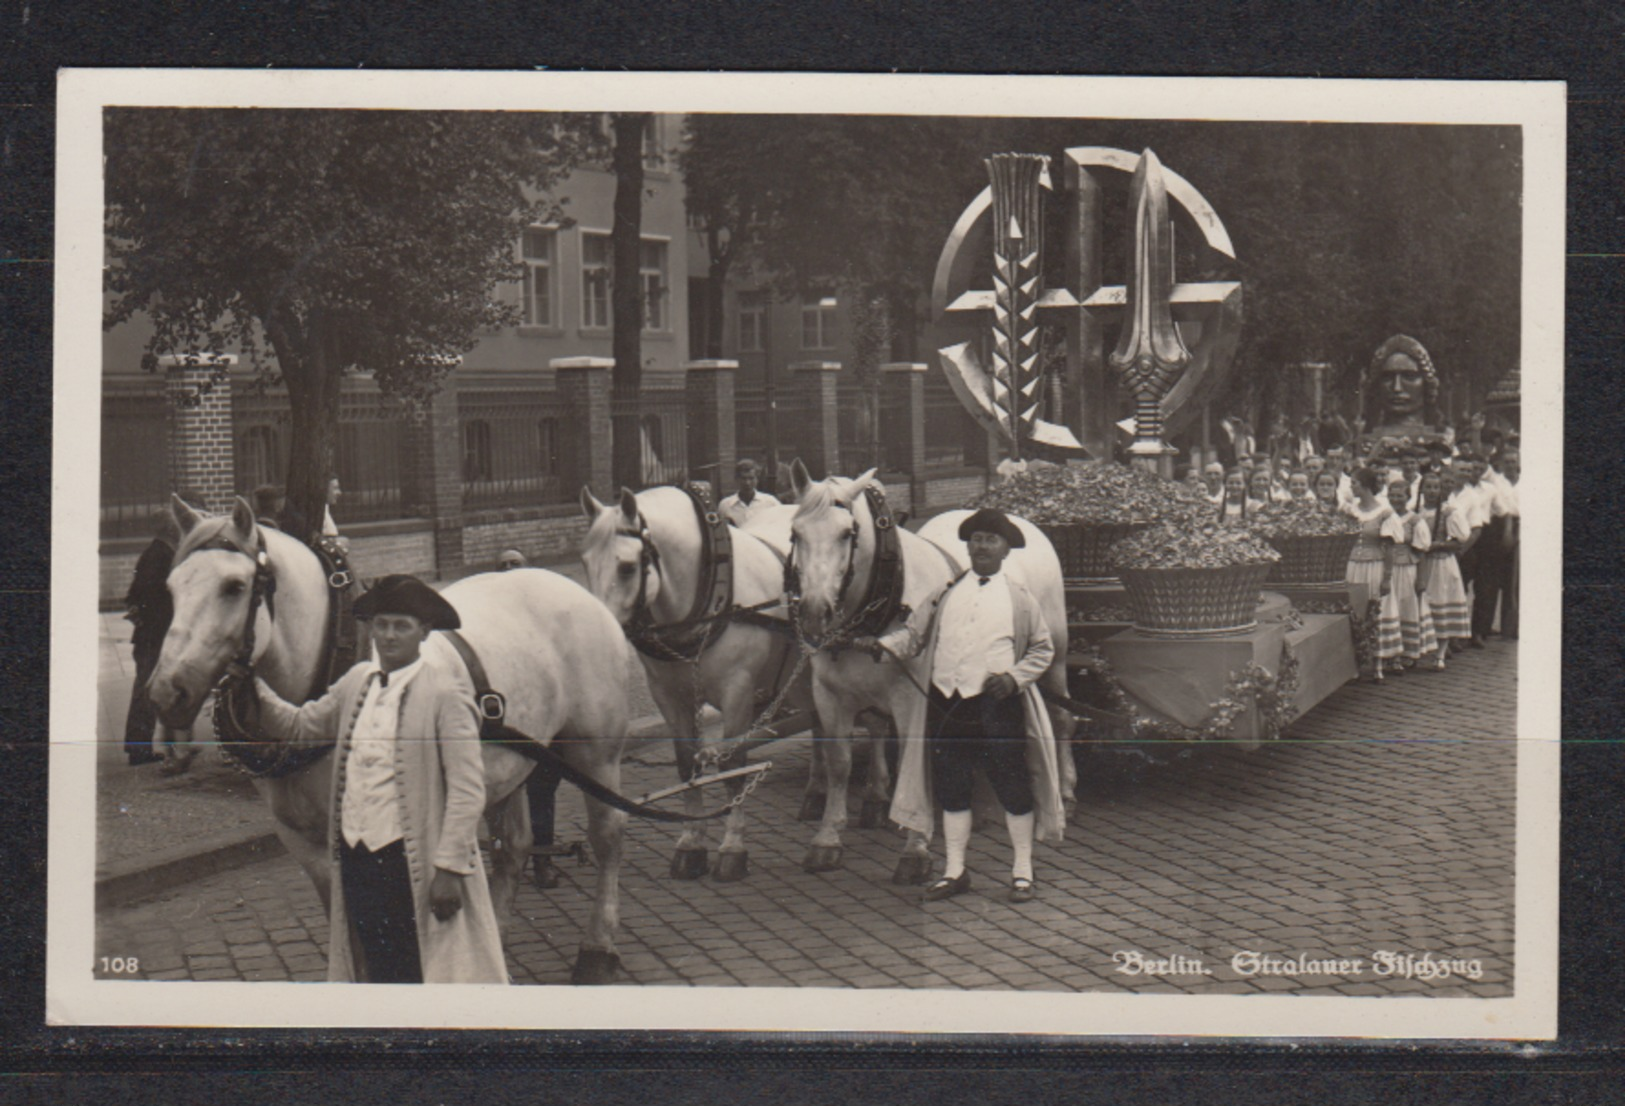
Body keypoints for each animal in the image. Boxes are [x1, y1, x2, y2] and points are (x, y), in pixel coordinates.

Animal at [147, 496, 627, 980]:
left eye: (233, 586)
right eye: (170, 588)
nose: (166, 692)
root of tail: (576, 590)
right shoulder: (302, 841)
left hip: (595, 753)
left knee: (607, 835)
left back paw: (598, 949)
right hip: (509, 765)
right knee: (513, 848)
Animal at [578, 483, 819, 877]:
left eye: (627, 567)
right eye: (584, 562)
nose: (596, 633)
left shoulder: (738, 691)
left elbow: (733, 766)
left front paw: (733, 847)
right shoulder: (670, 695)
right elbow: (686, 762)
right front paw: (691, 843)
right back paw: (819, 794)